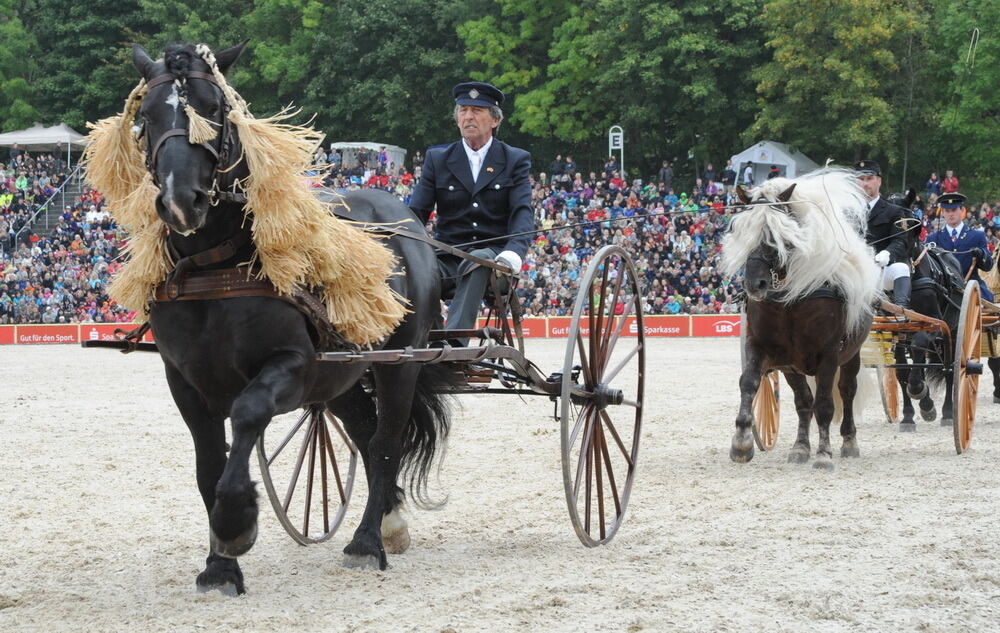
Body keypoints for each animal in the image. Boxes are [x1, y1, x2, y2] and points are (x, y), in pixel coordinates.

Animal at [116, 43, 450, 592]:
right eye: (146, 117)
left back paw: (368, 541)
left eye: (215, 108)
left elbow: (247, 415)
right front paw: (219, 566)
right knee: (365, 433)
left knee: (385, 442)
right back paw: (389, 522)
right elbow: (207, 463)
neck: (214, 267)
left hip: (400, 362)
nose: (181, 200)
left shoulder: (292, 366)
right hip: (342, 376)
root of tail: (407, 221)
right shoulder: (183, 380)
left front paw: (234, 522)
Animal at [724, 168, 880, 470]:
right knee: (804, 400)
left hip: (851, 355)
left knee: (846, 391)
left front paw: (824, 454)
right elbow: (750, 383)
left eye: (780, 235)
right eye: (743, 231)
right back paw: (800, 447)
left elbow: (825, 405)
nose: (754, 284)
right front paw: (742, 442)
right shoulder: (770, 351)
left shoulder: (829, 354)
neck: (790, 303)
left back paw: (848, 442)